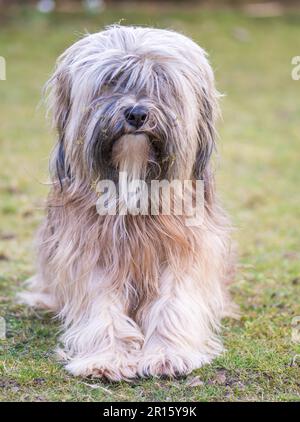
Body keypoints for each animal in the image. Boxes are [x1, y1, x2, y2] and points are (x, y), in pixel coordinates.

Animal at [19, 25, 237, 382]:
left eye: (160, 81)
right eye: (111, 81)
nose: (136, 113)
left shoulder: (185, 246)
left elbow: (173, 300)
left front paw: (167, 353)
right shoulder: (89, 250)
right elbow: (101, 305)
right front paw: (107, 357)